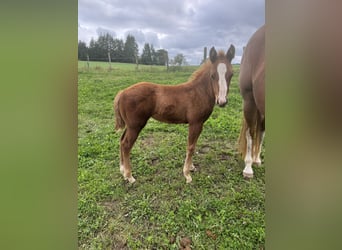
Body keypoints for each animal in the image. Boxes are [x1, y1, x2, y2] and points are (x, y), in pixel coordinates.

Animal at [115, 45, 235, 184]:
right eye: (212, 75)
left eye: (231, 74)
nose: (222, 101)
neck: (199, 92)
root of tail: (122, 92)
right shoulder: (195, 123)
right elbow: (191, 147)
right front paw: (187, 174)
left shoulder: (199, 124)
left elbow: (194, 145)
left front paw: (191, 167)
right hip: (135, 126)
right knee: (126, 145)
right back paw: (129, 176)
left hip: (130, 125)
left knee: (121, 140)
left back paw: (122, 170)